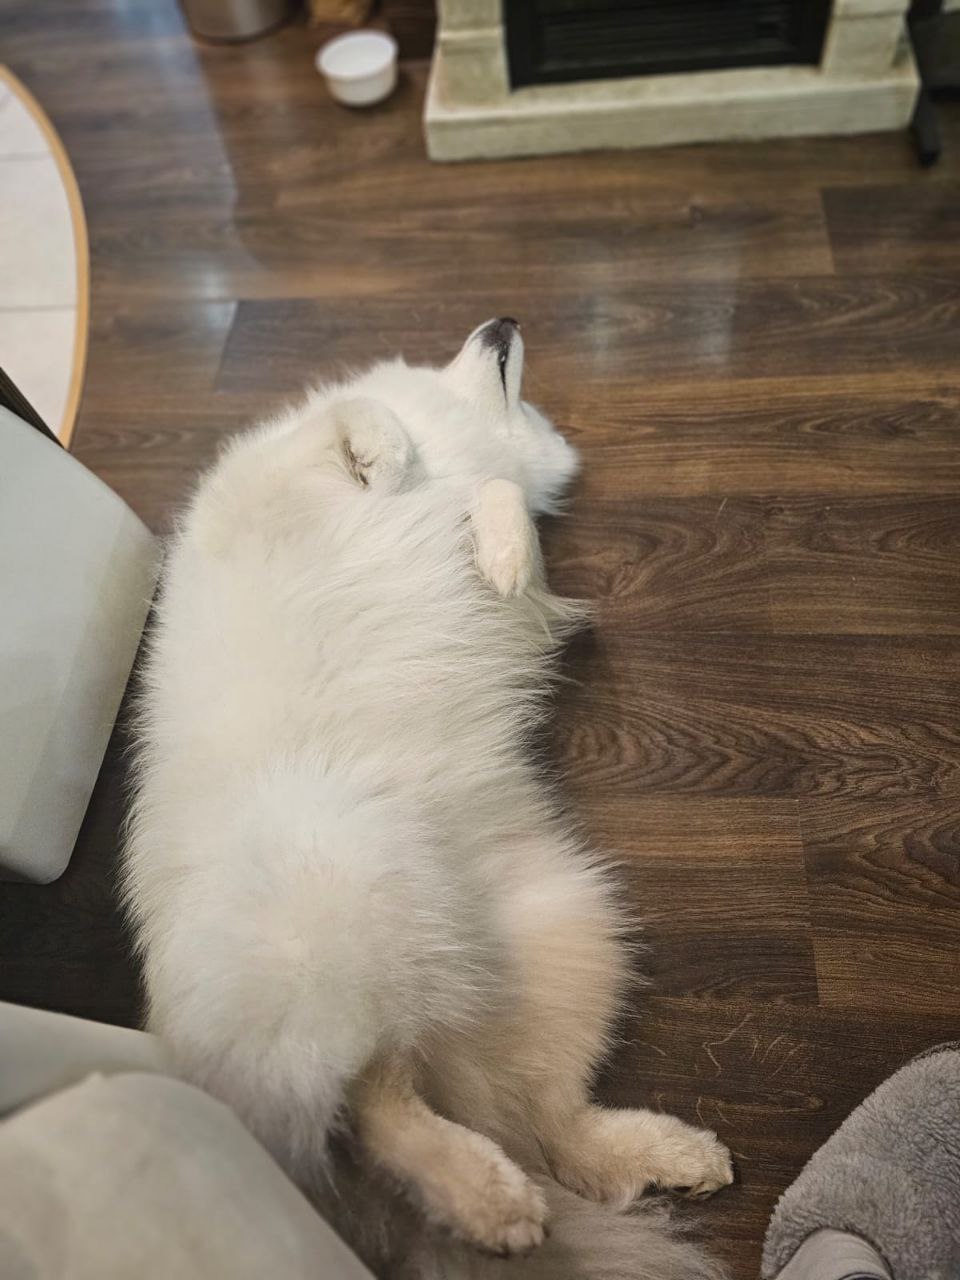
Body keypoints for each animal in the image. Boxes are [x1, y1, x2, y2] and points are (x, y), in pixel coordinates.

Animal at [124, 319, 732, 1279]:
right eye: (468, 351)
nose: (501, 322)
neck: (457, 430)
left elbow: (498, 498)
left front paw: (499, 544)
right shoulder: (273, 467)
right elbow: (362, 415)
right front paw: (392, 457)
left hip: (575, 932)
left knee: (544, 1128)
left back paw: (640, 1160)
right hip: (346, 917)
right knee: (376, 1104)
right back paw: (490, 1199)